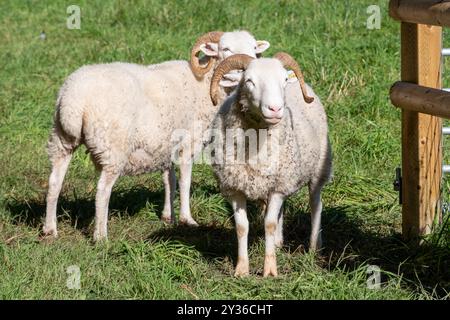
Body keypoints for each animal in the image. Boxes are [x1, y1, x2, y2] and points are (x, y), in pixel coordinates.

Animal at [44, 30, 270, 240]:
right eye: (225, 49)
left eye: (254, 49)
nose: (243, 70)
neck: (206, 84)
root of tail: (75, 100)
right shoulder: (189, 142)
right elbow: (184, 181)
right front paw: (187, 219)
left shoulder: (165, 145)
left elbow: (169, 180)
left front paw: (168, 217)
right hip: (113, 147)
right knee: (102, 191)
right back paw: (101, 237)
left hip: (62, 139)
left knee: (55, 182)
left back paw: (50, 229)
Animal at [207, 53, 330, 278]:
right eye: (249, 81)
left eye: (283, 80)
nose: (275, 109)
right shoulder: (235, 188)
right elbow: (242, 227)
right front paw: (241, 269)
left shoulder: (277, 188)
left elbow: (269, 225)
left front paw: (270, 270)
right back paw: (279, 243)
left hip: (318, 168)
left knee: (315, 204)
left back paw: (314, 247)